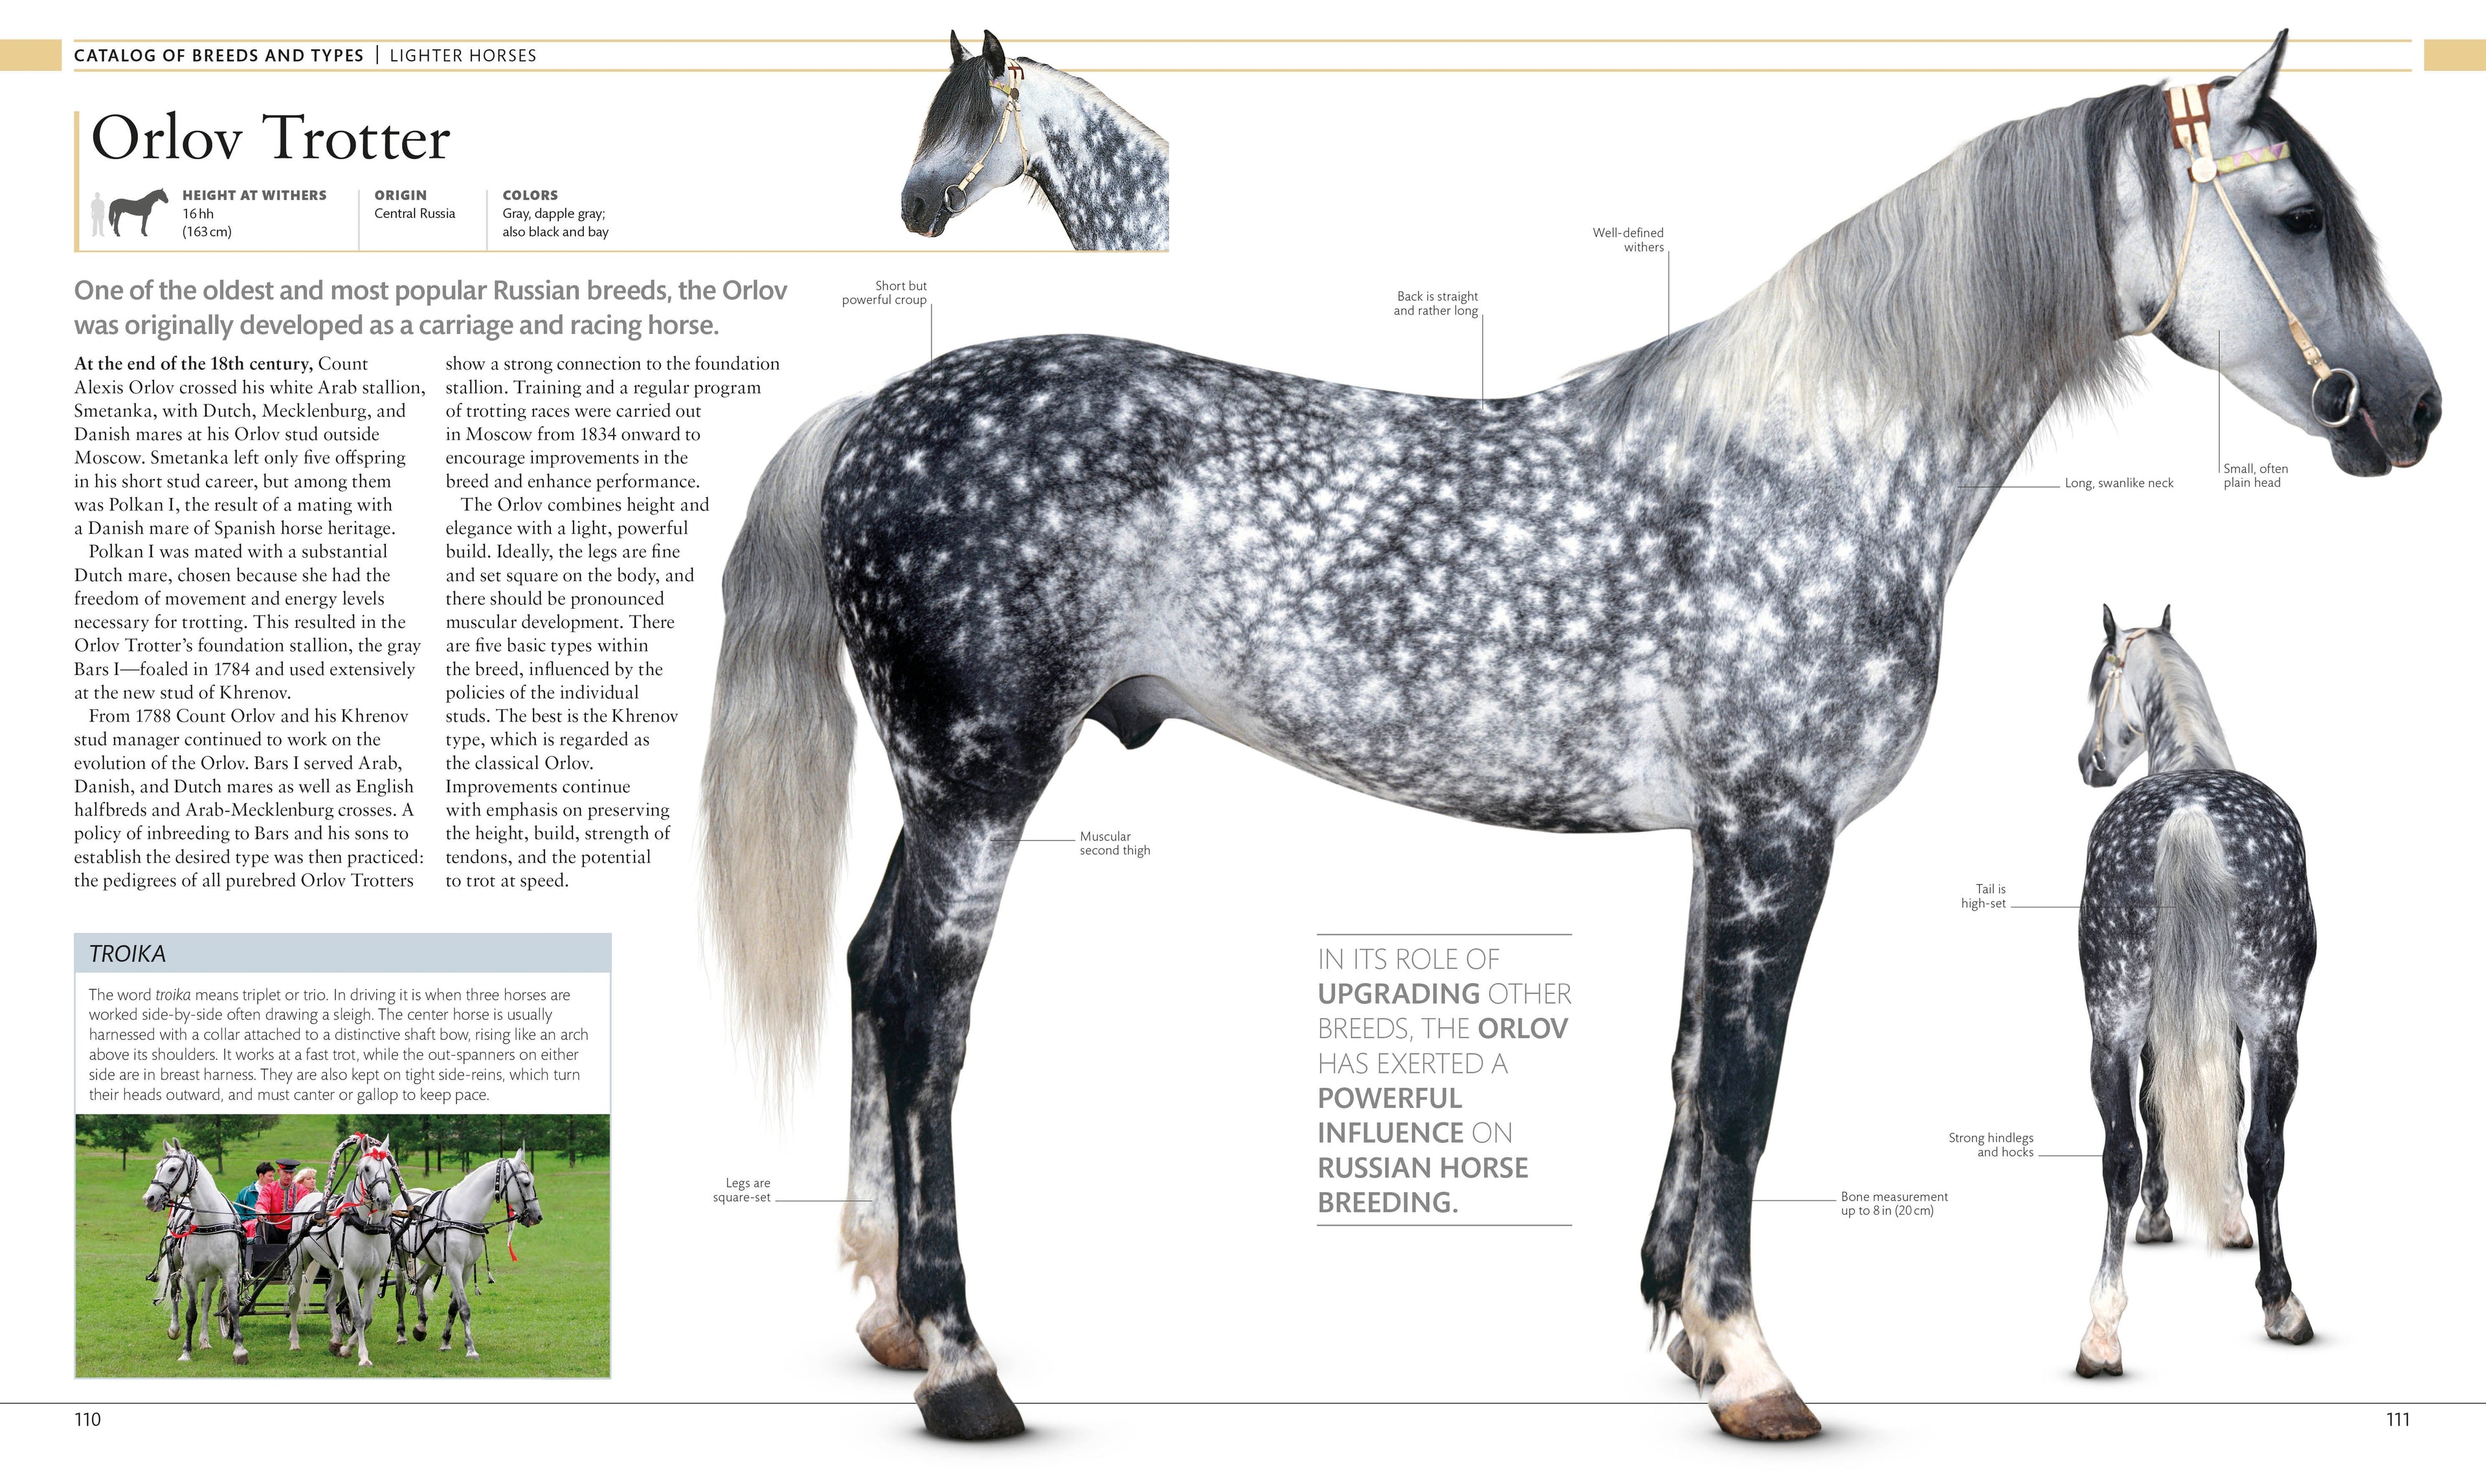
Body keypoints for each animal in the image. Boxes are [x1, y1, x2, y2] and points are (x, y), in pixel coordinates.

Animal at [139, 1140, 248, 1364]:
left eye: (172, 1169)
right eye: (158, 1167)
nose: (149, 1198)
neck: (209, 1221)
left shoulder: (230, 1272)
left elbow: (232, 1307)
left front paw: (239, 1350)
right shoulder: (191, 1274)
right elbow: (190, 1312)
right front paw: (186, 1351)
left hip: (213, 1275)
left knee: (206, 1302)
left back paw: (204, 1340)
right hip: (175, 1264)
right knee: (174, 1293)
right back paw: (175, 1329)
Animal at [398, 1150, 544, 1357]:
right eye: (526, 1183)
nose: (538, 1216)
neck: (464, 1215)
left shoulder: (465, 1269)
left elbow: (454, 1307)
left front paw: (446, 1341)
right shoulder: (454, 1267)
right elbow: (465, 1309)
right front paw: (471, 1348)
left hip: (433, 1261)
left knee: (419, 1283)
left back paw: (421, 1327)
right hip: (400, 1257)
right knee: (400, 1292)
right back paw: (401, 1333)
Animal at [2071, 608, 2316, 1378]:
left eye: (2097, 682)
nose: (2088, 763)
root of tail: (2188, 808)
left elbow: (2175, 1113)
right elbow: (2211, 1108)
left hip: (2117, 1023)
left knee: (2123, 1153)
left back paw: (2102, 1333)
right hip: (2270, 1023)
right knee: (2261, 1147)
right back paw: (2280, 1303)